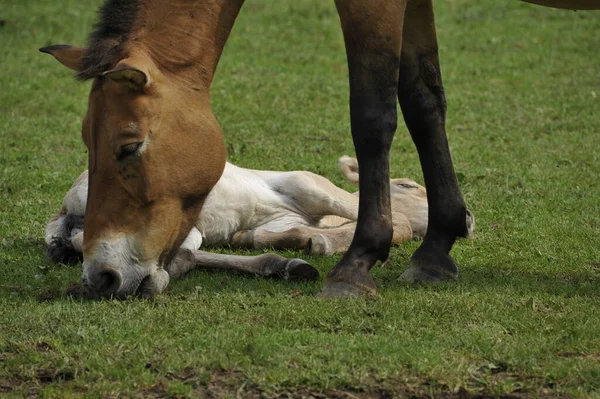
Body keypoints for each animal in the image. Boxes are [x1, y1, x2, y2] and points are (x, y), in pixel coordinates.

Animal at [38, 0, 596, 298]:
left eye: (127, 147)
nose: (100, 274)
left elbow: (373, 115)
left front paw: (357, 264)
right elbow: (422, 99)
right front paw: (433, 253)